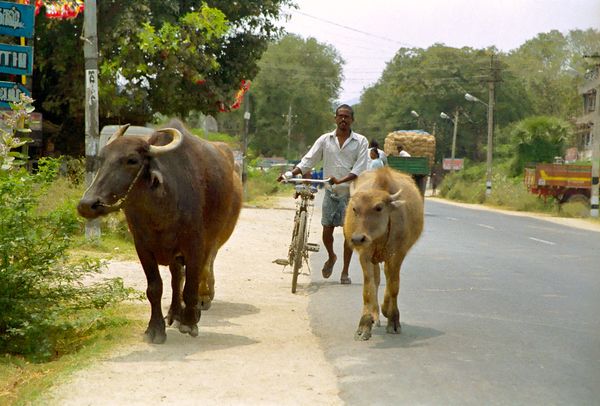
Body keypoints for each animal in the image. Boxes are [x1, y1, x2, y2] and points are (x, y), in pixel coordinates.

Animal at [77, 119, 241, 344]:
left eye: (132, 160)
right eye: (102, 158)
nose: (87, 204)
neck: (162, 205)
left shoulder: (195, 246)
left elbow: (191, 285)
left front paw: (190, 322)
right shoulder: (142, 246)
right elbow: (155, 288)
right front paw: (155, 329)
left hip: (212, 240)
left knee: (198, 274)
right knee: (176, 278)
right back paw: (174, 312)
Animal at [344, 167, 424, 340]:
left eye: (379, 207)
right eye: (354, 209)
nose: (357, 238)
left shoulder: (397, 254)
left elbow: (394, 285)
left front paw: (393, 320)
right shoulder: (365, 255)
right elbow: (369, 288)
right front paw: (365, 324)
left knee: (387, 278)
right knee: (377, 280)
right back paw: (375, 315)